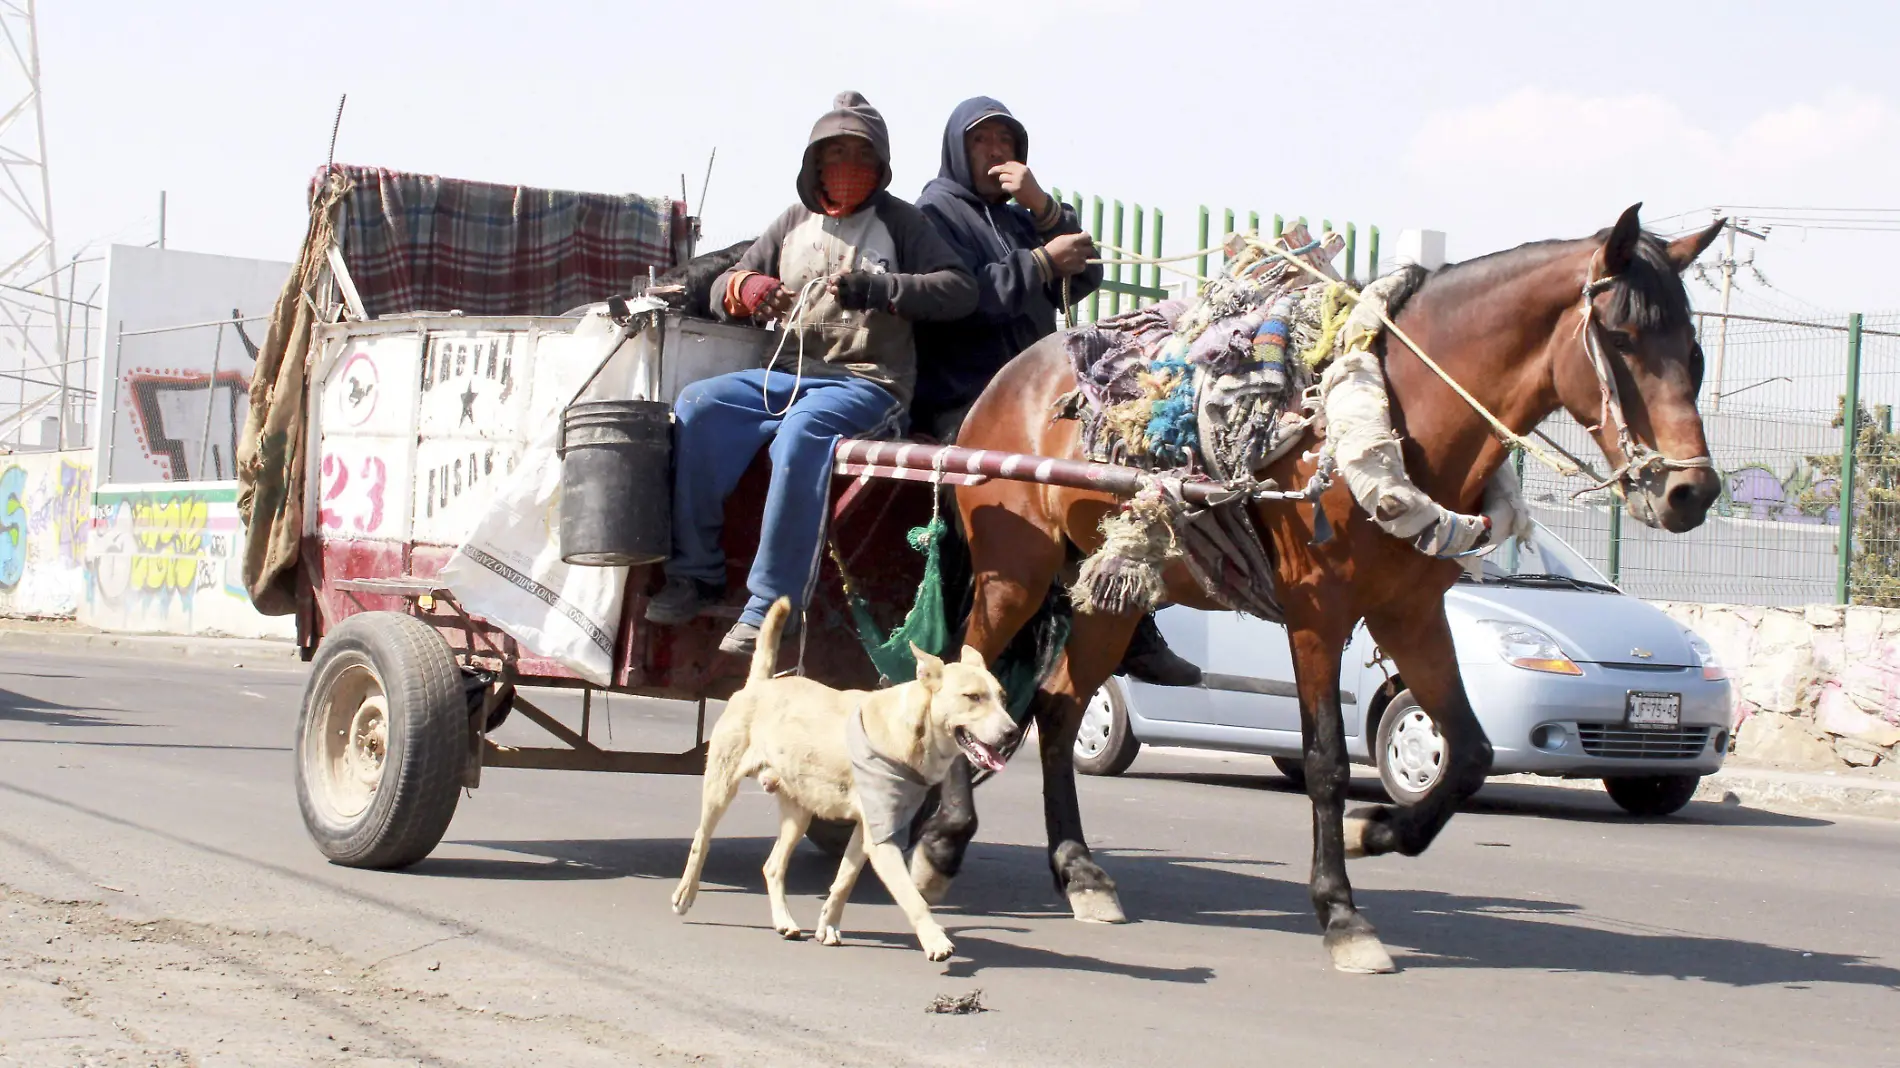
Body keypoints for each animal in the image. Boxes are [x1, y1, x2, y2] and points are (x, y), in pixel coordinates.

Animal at [676, 600, 1018, 957]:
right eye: (973, 697)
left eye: (1003, 697)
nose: (1012, 732)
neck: (910, 730)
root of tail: (760, 684)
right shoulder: (881, 840)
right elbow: (911, 896)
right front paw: (935, 939)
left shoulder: (868, 830)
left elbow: (844, 879)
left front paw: (828, 924)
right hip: (721, 787)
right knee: (701, 839)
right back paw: (686, 893)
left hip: (799, 811)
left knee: (772, 866)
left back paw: (784, 920)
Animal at [912, 203, 1732, 969]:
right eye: (1620, 337)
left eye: (1694, 349)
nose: (1691, 492)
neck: (1396, 412)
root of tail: (1010, 379)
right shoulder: (1318, 613)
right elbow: (1328, 762)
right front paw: (1342, 913)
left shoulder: (1410, 612)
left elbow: (1469, 752)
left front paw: (1383, 832)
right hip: (1015, 571)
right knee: (968, 676)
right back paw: (944, 843)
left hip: (1116, 585)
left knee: (1057, 708)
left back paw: (1078, 872)